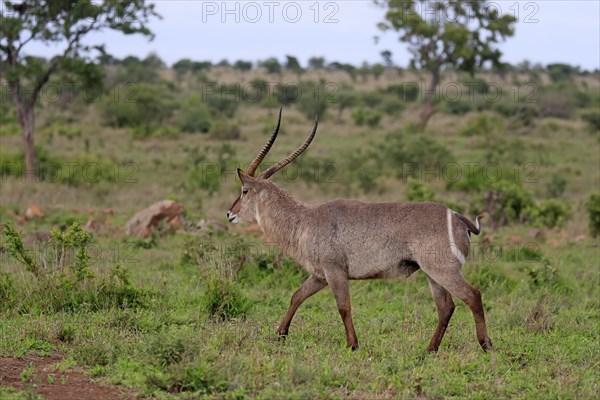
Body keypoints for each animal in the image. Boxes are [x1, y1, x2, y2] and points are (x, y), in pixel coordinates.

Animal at [227, 108, 494, 350]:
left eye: (244, 190)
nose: (230, 214)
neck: (304, 220)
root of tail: (458, 217)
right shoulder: (320, 275)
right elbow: (297, 296)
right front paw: (280, 335)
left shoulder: (335, 271)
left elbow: (343, 307)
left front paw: (353, 345)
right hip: (432, 273)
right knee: (446, 306)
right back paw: (430, 350)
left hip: (443, 270)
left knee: (473, 296)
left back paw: (486, 345)